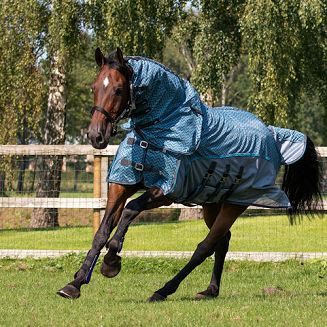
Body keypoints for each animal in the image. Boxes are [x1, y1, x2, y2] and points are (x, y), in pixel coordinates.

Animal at [57, 47, 324, 302]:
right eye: (94, 87)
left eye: (119, 89)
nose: (96, 135)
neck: (157, 133)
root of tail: (272, 134)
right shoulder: (121, 184)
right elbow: (101, 233)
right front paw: (75, 283)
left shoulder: (165, 191)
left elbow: (131, 210)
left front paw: (111, 263)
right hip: (211, 204)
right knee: (222, 241)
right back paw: (210, 290)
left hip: (234, 204)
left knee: (205, 246)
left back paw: (163, 290)